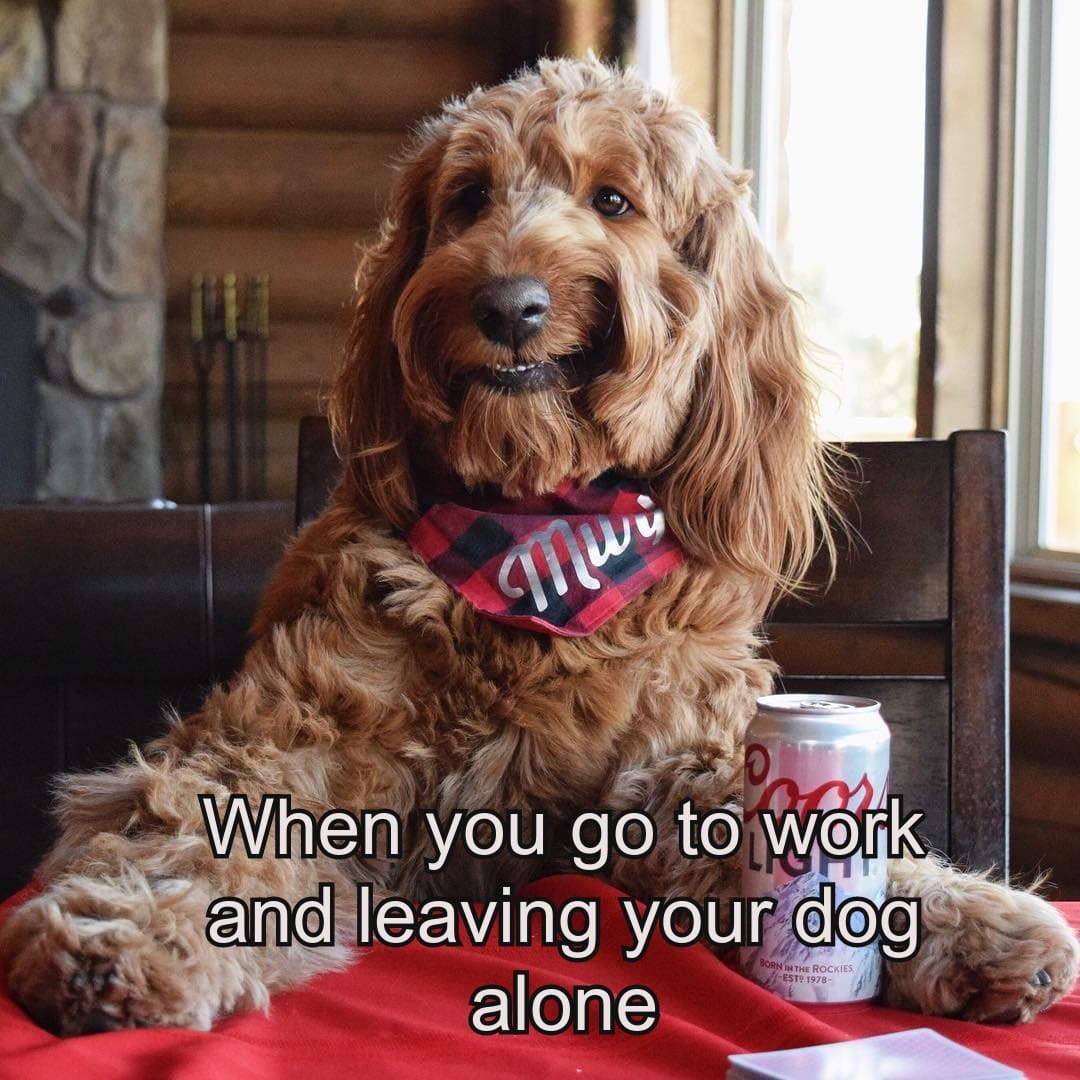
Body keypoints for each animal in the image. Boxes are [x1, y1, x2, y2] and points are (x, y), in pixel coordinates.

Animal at [2, 56, 1077, 1036]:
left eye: (615, 199)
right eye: (470, 198)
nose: (508, 303)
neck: (538, 532)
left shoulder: (654, 765)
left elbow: (751, 807)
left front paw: (960, 916)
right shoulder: (284, 736)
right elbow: (193, 823)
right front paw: (126, 933)